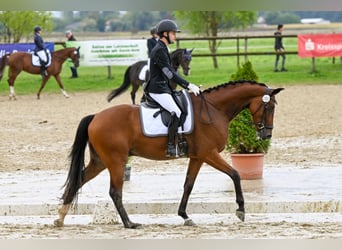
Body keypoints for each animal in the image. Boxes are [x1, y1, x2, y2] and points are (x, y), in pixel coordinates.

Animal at [53, 80, 284, 229]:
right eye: (269, 107)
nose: (266, 134)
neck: (214, 109)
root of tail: (95, 117)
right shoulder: (208, 154)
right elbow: (235, 174)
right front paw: (241, 210)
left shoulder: (197, 157)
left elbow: (188, 185)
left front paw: (185, 216)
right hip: (116, 161)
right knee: (115, 192)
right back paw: (129, 223)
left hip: (101, 161)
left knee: (79, 180)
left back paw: (60, 218)